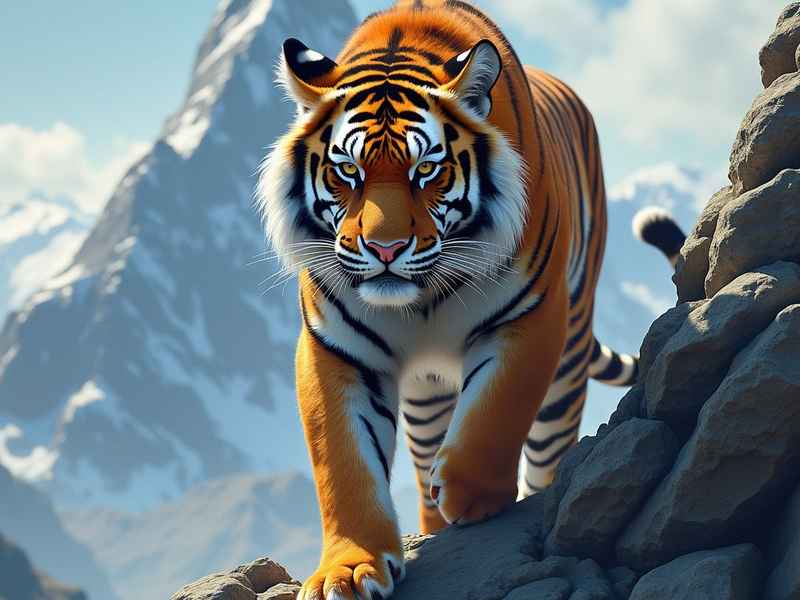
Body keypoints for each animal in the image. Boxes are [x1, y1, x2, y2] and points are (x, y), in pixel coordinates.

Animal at [258, 2, 685, 599]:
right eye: (348, 171)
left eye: (426, 169)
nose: (385, 248)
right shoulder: (335, 347)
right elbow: (342, 459)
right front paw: (349, 569)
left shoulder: (531, 312)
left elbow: (496, 408)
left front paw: (470, 496)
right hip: (425, 398)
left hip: (568, 361)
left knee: (546, 449)